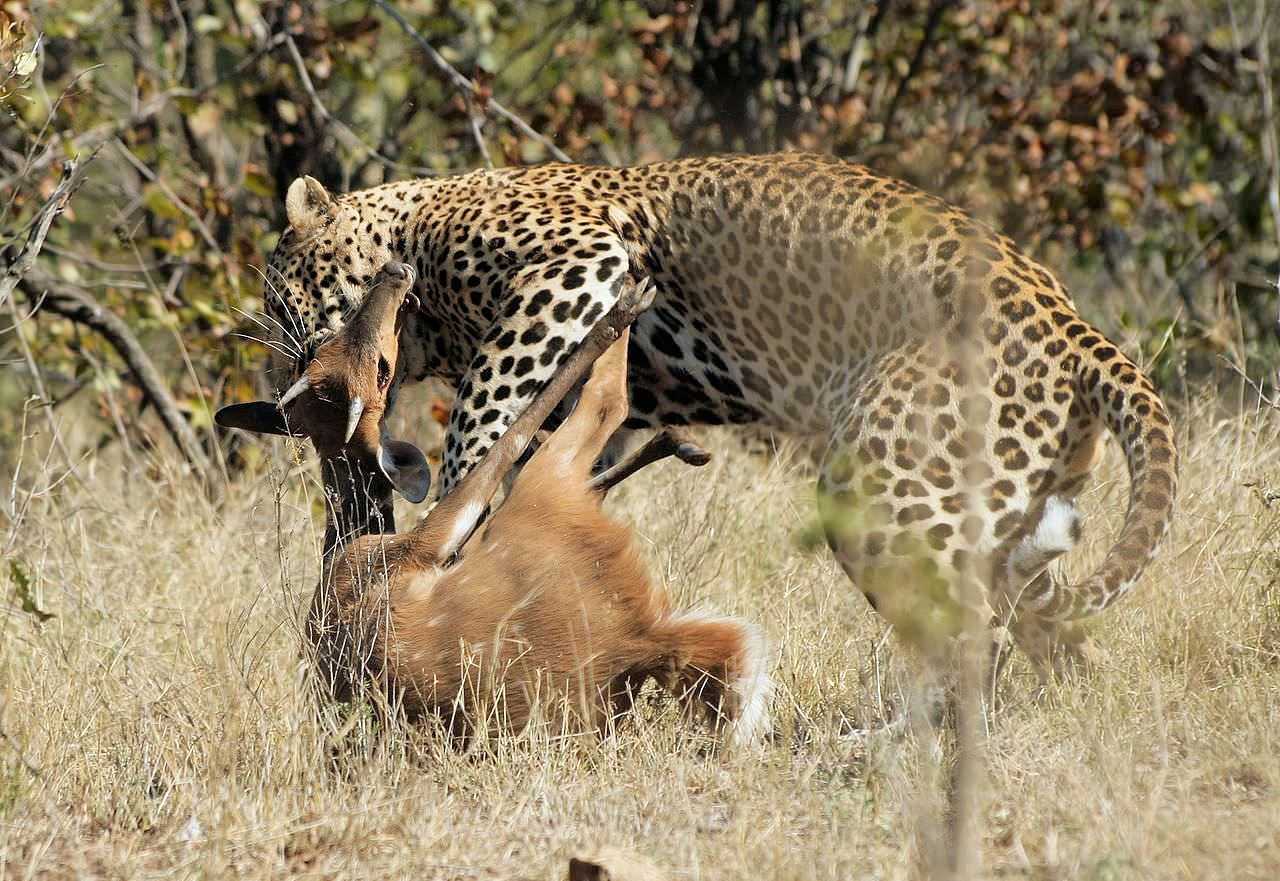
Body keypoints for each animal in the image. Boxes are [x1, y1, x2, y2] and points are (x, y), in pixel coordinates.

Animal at [255, 151, 1178, 673]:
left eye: (279, 296)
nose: (286, 378)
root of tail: (1079, 329)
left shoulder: (574, 264)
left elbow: (488, 409)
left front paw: (452, 503)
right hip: (1004, 506)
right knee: (1046, 629)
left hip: (883, 483)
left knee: (976, 634)